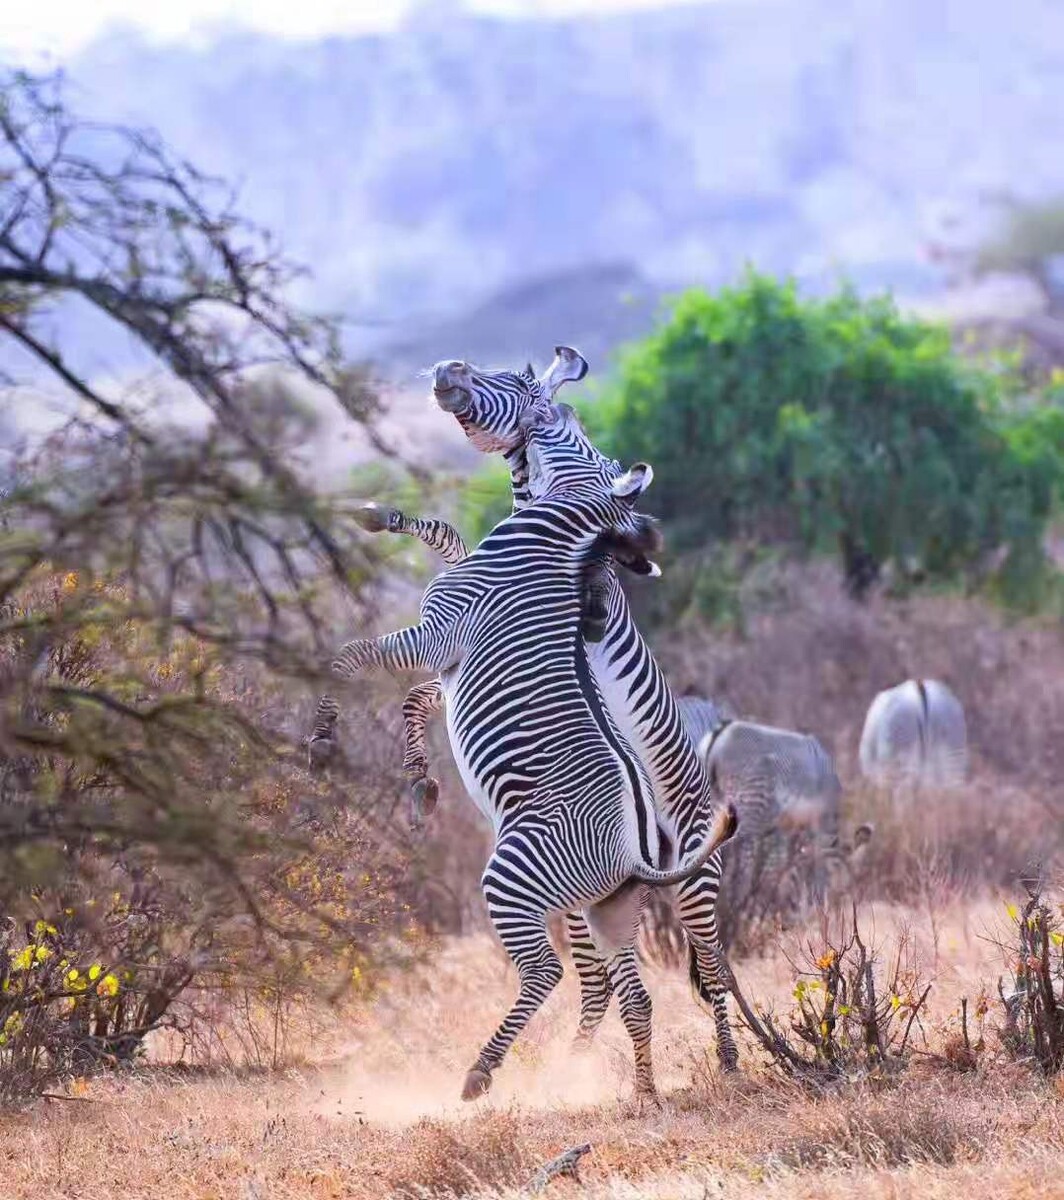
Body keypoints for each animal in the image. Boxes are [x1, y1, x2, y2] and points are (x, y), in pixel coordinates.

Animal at [311, 350, 743, 1075]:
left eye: (513, 382)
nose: (448, 369)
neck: (547, 535)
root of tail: (639, 856)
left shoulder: (440, 636)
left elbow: (346, 657)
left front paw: (322, 741)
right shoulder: (448, 666)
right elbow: (416, 671)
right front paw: (420, 783)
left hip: (679, 879)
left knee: (701, 968)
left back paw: (727, 1059)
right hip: (600, 905)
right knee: (619, 989)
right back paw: (598, 1071)